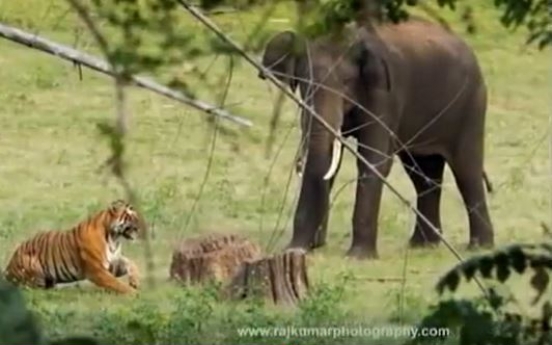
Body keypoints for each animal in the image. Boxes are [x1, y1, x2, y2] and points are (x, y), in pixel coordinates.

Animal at [3, 199, 146, 292]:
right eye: (130, 216)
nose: (141, 227)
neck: (113, 238)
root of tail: (7, 269)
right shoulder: (97, 270)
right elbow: (116, 284)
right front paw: (135, 294)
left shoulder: (112, 263)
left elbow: (131, 263)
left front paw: (135, 281)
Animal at [258, 16, 496, 258]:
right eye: (304, 82)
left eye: (346, 81)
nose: (314, 245)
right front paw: (295, 250)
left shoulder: (385, 94)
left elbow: (373, 161)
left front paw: (358, 257)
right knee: (423, 174)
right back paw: (423, 245)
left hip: (472, 104)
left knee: (466, 171)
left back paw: (479, 247)